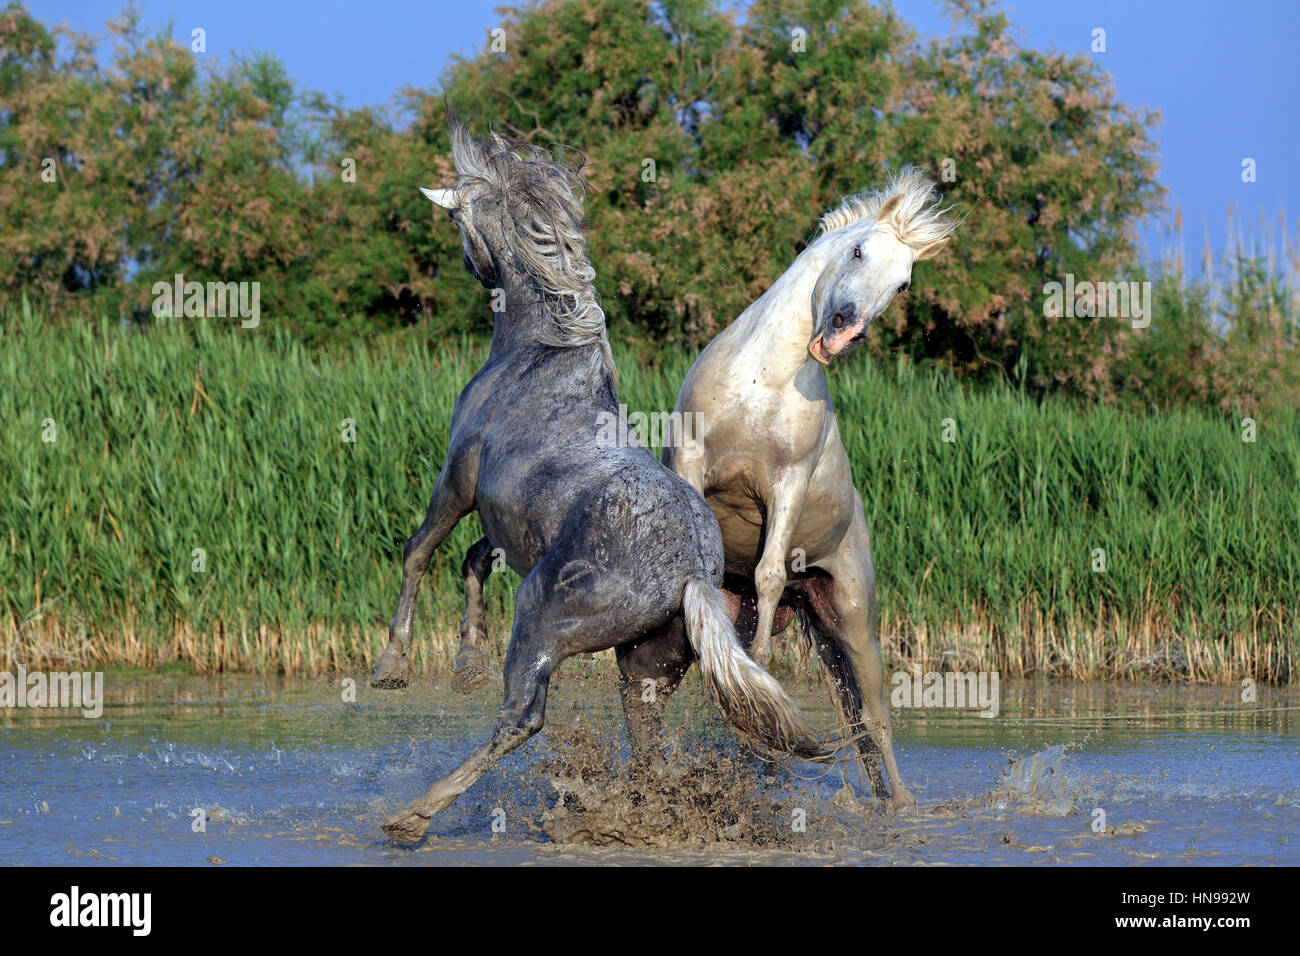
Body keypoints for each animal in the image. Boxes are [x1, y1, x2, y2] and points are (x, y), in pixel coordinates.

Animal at [366, 119, 821, 842]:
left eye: (461, 220)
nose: (473, 263)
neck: (538, 355)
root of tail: (689, 574)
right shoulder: (507, 522)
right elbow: (471, 560)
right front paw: (464, 662)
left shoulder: (458, 481)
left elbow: (420, 551)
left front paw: (392, 668)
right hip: (643, 666)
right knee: (646, 744)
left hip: (542, 618)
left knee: (523, 719)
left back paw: (414, 815)